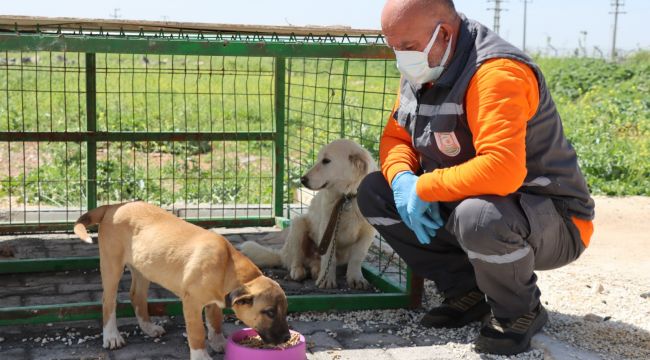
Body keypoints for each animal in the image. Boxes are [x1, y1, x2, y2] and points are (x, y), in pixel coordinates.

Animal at [72, 201, 290, 360]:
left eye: (284, 311)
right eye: (270, 312)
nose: (287, 337)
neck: (227, 265)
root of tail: (112, 206)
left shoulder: (213, 301)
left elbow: (215, 322)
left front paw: (218, 342)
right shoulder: (191, 303)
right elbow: (197, 333)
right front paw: (202, 356)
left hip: (143, 268)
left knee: (136, 296)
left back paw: (149, 328)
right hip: (112, 265)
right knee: (108, 301)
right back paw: (112, 336)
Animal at [242, 139, 374, 288]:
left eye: (326, 161)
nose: (302, 180)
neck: (348, 198)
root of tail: (282, 254)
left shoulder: (368, 233)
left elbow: (357, 257)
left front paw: (356, 278)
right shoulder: (328, 227)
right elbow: (329, 257)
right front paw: (326, 279)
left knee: (315, 263)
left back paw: (316, 270)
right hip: (298, 225)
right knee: (296, 260)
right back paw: (298, 271)